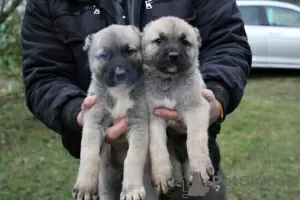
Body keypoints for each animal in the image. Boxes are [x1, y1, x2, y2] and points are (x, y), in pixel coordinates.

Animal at [73, 24, 150, 200]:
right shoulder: (93, 122)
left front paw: (132, 189)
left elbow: (133, 157)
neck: (119, 92)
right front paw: (85, 186)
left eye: (130, 51)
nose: (120, 74)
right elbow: (89, 154)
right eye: (104, 55)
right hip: (106, 186)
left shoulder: (139, 125)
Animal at [142, 16, 214, 195]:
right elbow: (157, 146)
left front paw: (200, 167)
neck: (170, 81)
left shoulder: (196, 109)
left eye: (185, 41)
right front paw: (161, 175)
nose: (173, 56)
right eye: (159, 40)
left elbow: (195, 140)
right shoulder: (154, 116)